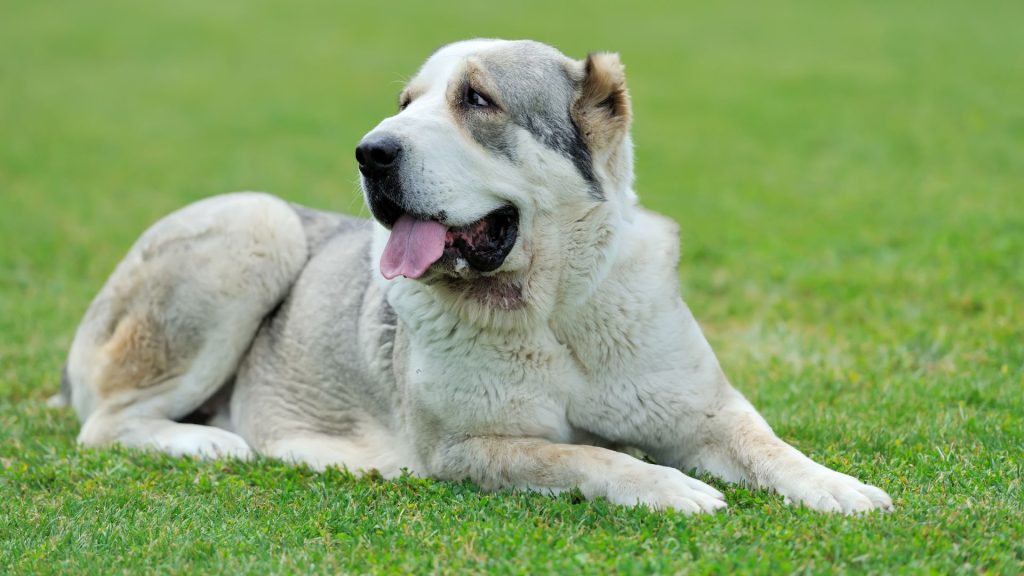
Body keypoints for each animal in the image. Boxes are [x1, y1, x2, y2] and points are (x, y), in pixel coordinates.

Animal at [59, 41, 892, 516]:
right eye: (406, 103)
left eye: (477, 100)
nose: (370, 152)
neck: (555, 309)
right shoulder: (467, 448)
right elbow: (587, 455)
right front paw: (670, 488)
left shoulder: (708, 412)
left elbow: (769, 445)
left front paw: (838, 486)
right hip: (256, 225)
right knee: (105, 423)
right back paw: (206, 442)